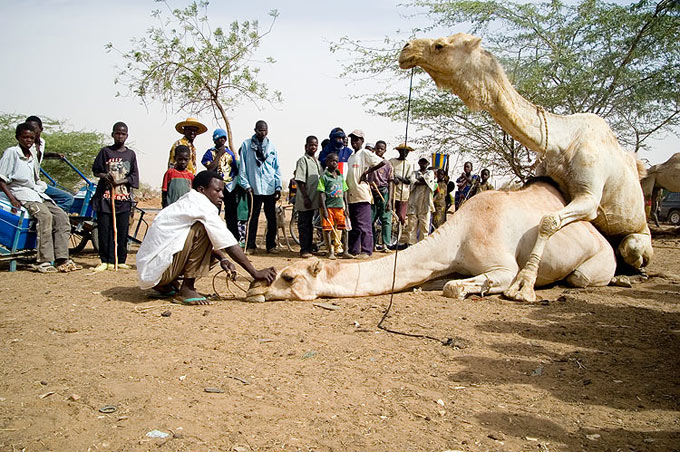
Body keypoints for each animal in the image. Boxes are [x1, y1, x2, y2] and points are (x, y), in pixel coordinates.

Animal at [246, 178, 616, 302]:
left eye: (287, 276)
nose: (253, 287)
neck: (458, 238)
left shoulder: (503, 265)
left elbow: (456, 287)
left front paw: (479, 291)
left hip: (599, 262)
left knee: (581, 276)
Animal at [398, 30, 652, 300]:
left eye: (440, 45)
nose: (406, 49)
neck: (564, 140)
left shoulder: (589, 195)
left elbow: (548, 222)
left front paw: (523, 286)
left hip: (633, 239)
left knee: (616, 256)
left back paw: (629, 276)